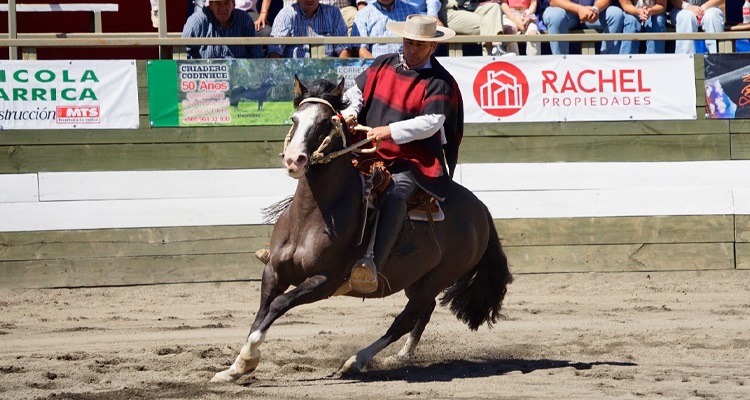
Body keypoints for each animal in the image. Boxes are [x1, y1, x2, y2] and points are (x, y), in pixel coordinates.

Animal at [214, 76, 516, 384]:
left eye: (325, 122)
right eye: (295, 118)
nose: (293, 159)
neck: (312, 216)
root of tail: (481, 209)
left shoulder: (325, 281)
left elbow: (277, 305)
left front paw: (247, 359)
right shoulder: (273, 271)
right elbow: (260, 315)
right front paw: (234, 368)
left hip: (437, 278)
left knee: (405, 319)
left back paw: (356, 361)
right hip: (418, 279)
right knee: (424, 311)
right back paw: (402, 355)